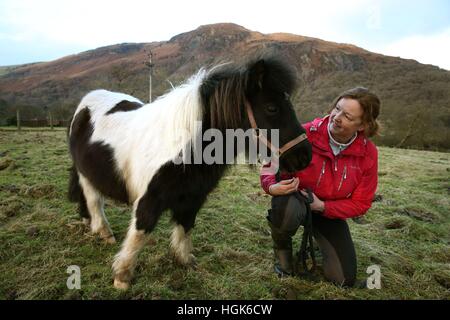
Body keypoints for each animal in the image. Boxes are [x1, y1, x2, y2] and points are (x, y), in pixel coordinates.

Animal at [67, 56, 312, 288]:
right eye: (272, 108)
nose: (305, 157)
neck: (185, 149)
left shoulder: (193, 198)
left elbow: (185, 227)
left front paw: (184, 261)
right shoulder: (148, 200)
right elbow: (140, 232)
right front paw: (123, 276)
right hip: (85, 175)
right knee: (93, 199)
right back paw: (104, 231)